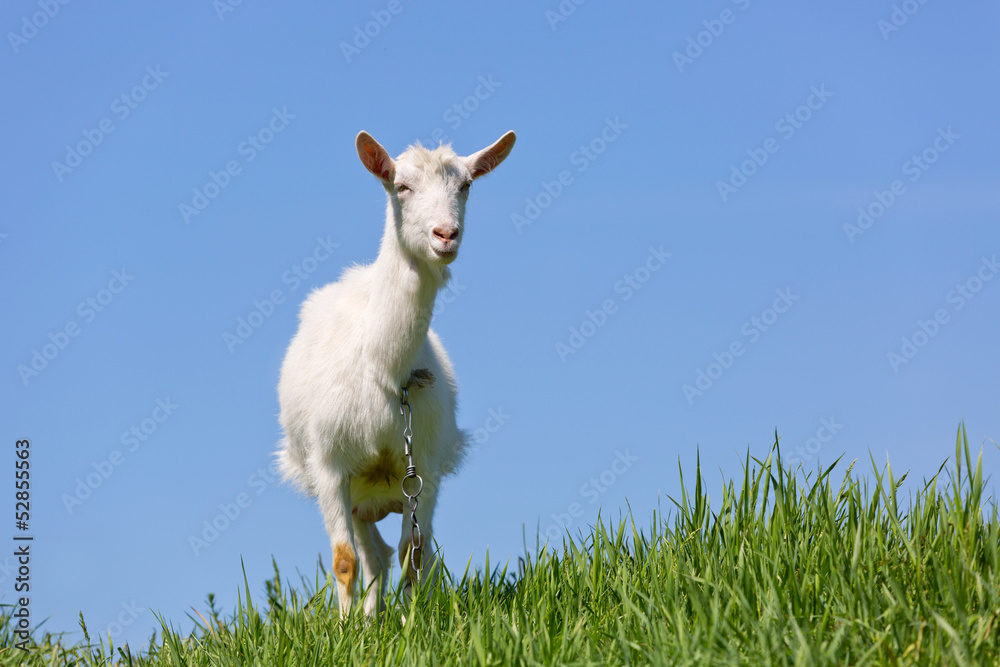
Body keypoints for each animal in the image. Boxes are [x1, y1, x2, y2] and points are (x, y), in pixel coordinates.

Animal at [276, 130, 516, 615]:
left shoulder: (424, 464)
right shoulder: (329, 465)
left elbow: (415, 551)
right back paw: (366, 620)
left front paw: (413, 621)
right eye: (400, 187)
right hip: (350, 490)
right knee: (370, 555)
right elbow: (343, 559)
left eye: (466, 185)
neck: (384, 371)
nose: (446, 234)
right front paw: (346, 630)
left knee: (388, 554)